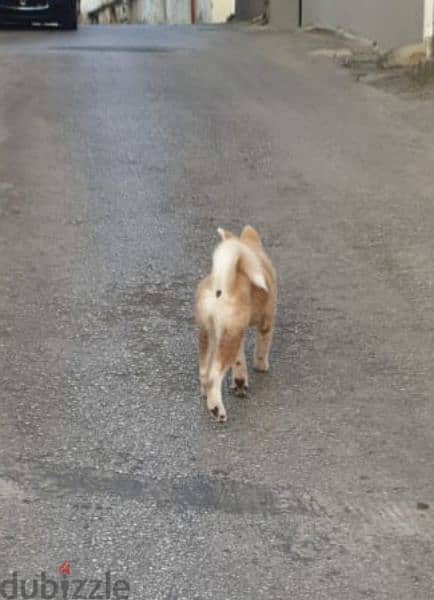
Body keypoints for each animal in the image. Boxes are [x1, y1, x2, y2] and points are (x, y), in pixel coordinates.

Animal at [195, 225, 276, 422]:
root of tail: (221, 284)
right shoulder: (266, 322)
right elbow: (262, 349)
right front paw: (261, 366)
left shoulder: (237, 331)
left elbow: (239, 362)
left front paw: (239, 382)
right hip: (228, 339)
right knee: (213, 377)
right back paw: (217, 410)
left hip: (209, 333)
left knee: (204, 372)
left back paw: (206, 396)